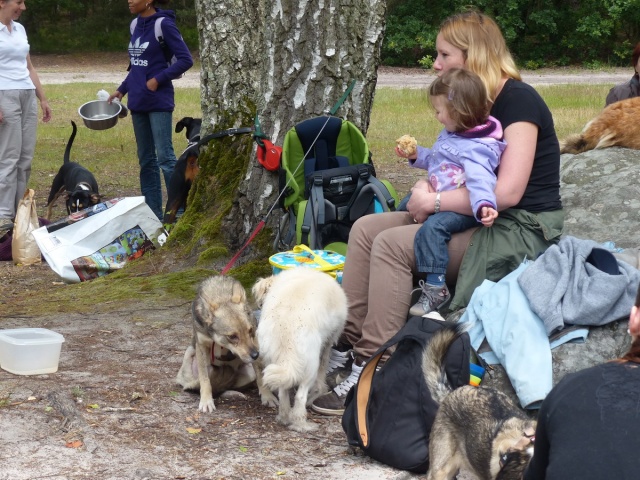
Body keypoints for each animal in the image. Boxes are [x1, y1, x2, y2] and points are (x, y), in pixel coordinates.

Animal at [252, 268, 348, 434]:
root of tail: (286, 327)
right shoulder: (327, 344)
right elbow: (321, 380)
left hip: (275, 361)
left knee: (283, 393)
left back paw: (284, 417)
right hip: (310, 365)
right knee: (300, 397)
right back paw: (302, 424)